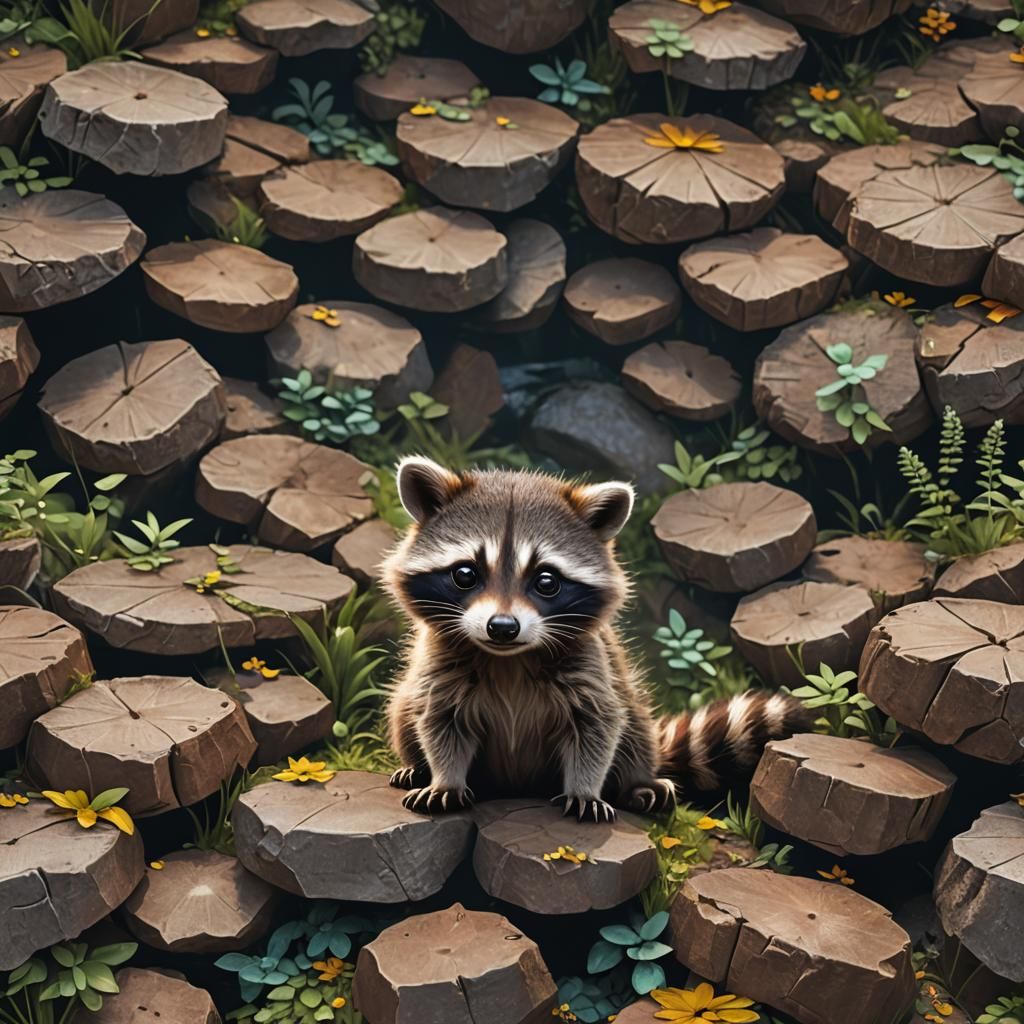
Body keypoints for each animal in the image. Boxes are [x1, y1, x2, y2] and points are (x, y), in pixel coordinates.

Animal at [381, 456, 812, 822]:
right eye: (465, 574)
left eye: (547, 581)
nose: (502, 627)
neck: (509, 658)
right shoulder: (440, 665)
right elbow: (440, 722)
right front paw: (445, 778)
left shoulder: (590, 664)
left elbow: (597, 727)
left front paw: (586, 790)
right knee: (404, 707)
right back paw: (415, 767)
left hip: (630, 704)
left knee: (632, 722)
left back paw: (637, 783)